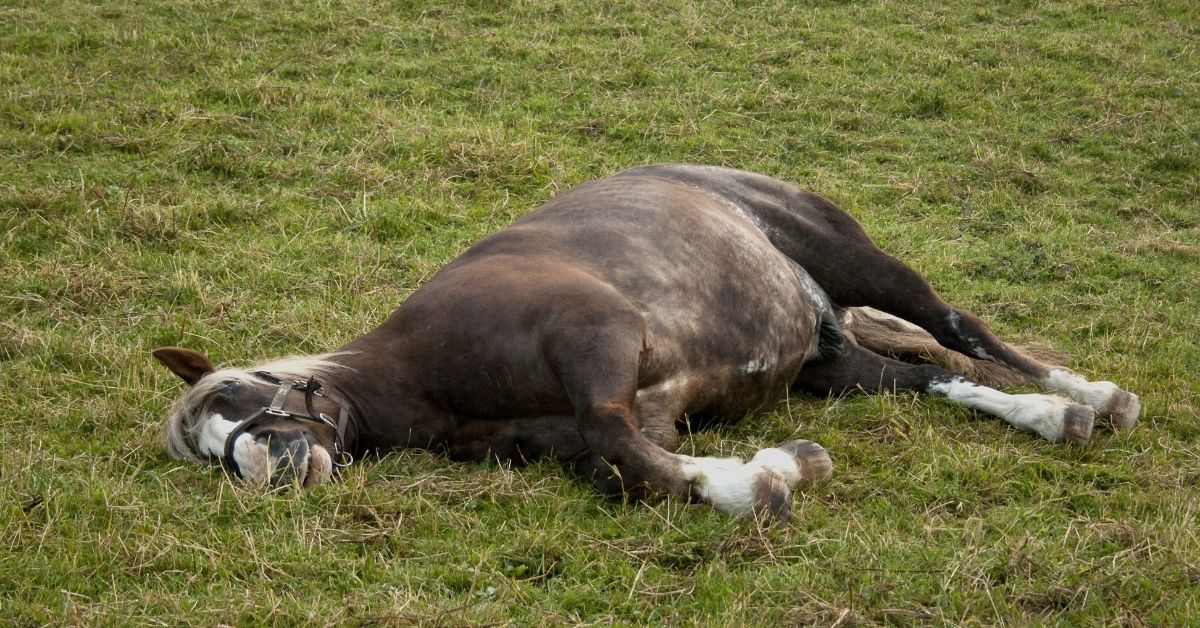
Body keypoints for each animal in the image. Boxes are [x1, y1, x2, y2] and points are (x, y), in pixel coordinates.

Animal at [154, 164, 1137, 523]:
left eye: (238, 392)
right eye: (206, 451)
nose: (266, 468)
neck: (425, 372)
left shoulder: (601, 340)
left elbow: (618, 440)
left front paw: (764, 482)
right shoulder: (629, 418)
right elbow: (629, 465)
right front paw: (777, 467)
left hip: (860, 265)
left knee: (958, 327)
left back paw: (1087, 394)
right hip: (832, 364)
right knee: (929, 376)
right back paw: (1048, 415)